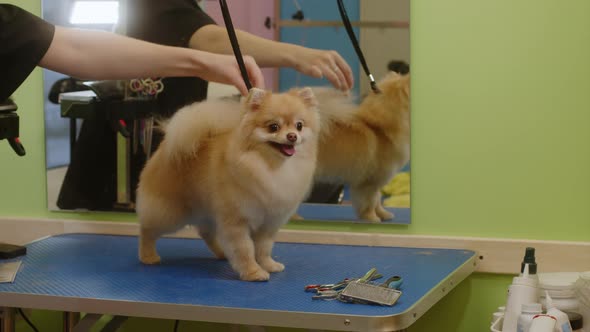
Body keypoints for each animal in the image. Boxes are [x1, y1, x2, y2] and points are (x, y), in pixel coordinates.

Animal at [137, 87, 322, 280]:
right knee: (147, 230)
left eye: (299, 125)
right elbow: (245, 249)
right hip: (171, 212)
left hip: (209, 211)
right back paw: (148, 256)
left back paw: (222, 253)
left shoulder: (268, 222)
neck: (271, 167)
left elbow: (264, 248)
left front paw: (268, 265)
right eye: (273, 127)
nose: (292, 136)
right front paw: (253, 272)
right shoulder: (237, 220)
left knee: (207, 233)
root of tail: (165, 147)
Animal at [314, 72, 412, 223]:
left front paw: (383, 214)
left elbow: (377, 200)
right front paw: (371, 218)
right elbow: (370, 202)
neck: (380, 130)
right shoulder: (369, 182)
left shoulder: (375, 183)